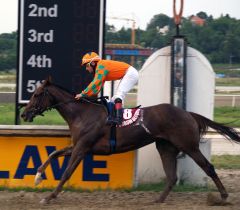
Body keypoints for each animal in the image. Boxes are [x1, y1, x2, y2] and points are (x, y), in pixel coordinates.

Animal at [21, 77, 240, 203]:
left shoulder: (82, 148)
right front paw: (38, 176)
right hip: (165, 147)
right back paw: (157, 200)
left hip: (189, 145)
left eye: (37, 94)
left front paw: (49, 197)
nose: (24, 114)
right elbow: (54, 153)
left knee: (208, 167)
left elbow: (66, 172)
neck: (82, 114)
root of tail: (187, 113)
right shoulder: (78, 146)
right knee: (171, 176)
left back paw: (223, 196)